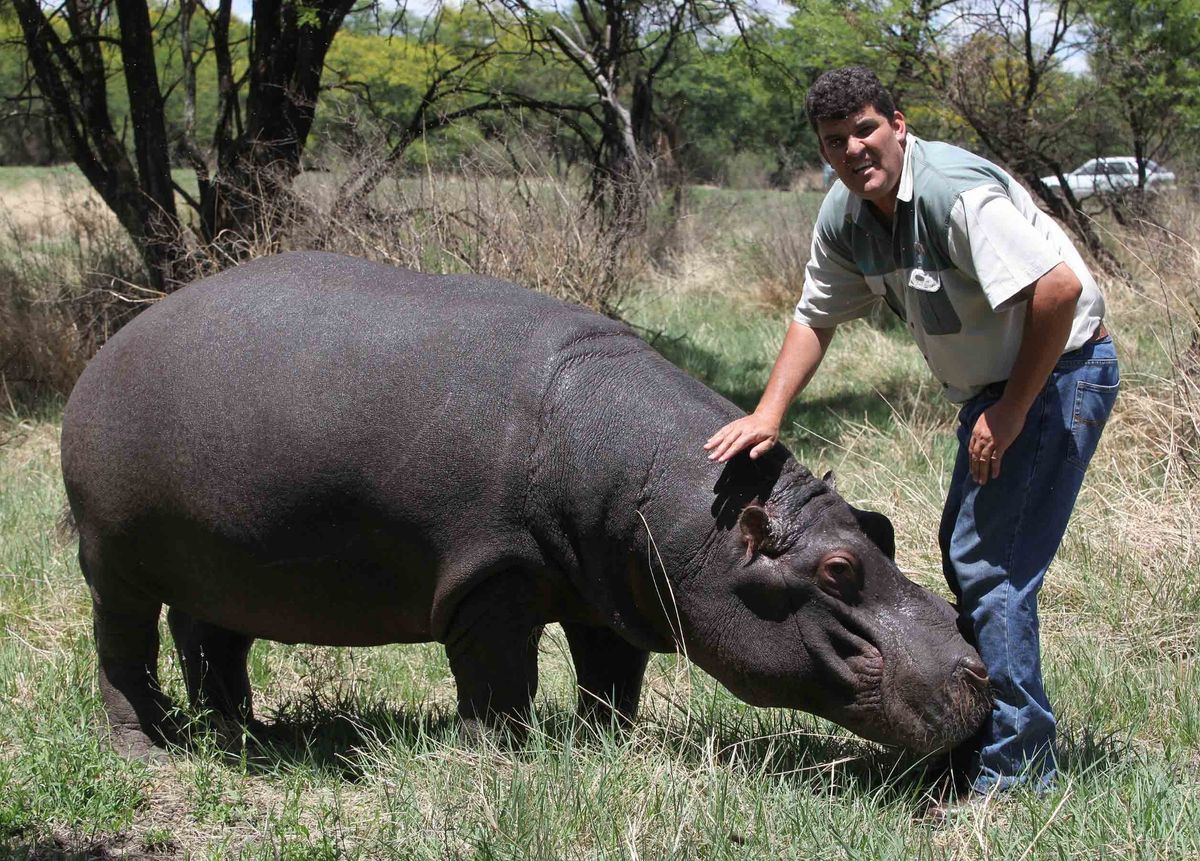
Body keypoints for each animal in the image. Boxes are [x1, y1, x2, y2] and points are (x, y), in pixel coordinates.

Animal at [60, 251, 990, 759]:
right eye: (836, 570)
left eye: (881, 529)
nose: (977, 672)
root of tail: (110, 346)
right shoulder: (489, 579)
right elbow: (502, 678)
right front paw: (499, 755)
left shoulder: (613, 590)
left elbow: (613, 679)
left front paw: (608, 744)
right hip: (114, 562)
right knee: (123, 649)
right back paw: (147, 748)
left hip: (222, 560)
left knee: (212, 638)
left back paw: (244, 733)